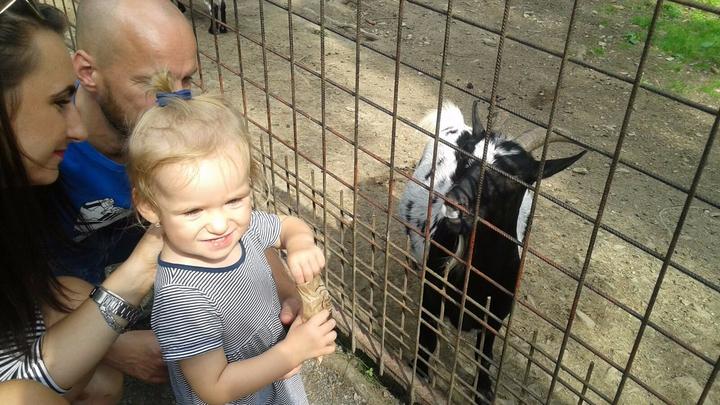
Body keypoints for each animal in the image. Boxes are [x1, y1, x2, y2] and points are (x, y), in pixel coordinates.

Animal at [398, 100, 585, 403]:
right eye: (465, 159)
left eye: (514, 178)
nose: (455, 201)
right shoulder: (433, 291)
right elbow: (428, 335)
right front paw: (419, 374)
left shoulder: (497, 314)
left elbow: (484, 354)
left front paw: (484, 391)